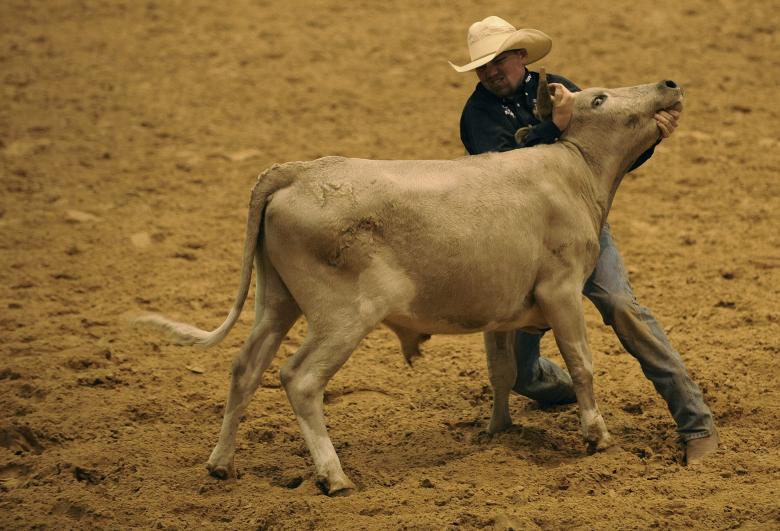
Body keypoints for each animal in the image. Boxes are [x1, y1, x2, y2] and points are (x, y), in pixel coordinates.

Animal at [135, 79, 684, 496]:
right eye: (599, 98)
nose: (668, 85)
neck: (573, 172)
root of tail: (297, 171)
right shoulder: (561, 290)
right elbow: (583, 363)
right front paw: (597, 436)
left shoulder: (500, 311)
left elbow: (502, 372)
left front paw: (497, 432)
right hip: (343, 315)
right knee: (299, 378)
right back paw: (334, 476)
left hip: (276, 301)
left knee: (245, 369)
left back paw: (221, 463)